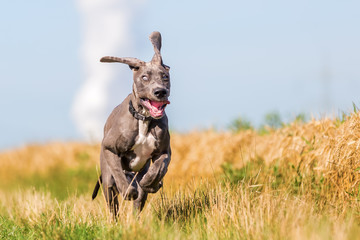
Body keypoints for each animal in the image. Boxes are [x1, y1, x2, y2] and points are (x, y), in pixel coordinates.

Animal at [92, 31, 172, 214]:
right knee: (114, 207)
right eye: (144, 77)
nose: (160, 92)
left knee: (138, 202)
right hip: (107, 184)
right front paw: (128, 190)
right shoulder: (109, 148)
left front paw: (151, 182)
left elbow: (159, 167)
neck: (144, 118)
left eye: (165, 76)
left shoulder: (164, 151)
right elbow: (118, 172)